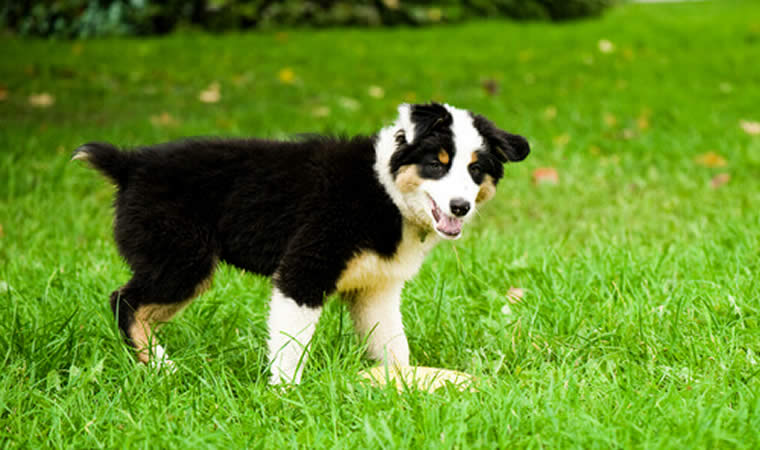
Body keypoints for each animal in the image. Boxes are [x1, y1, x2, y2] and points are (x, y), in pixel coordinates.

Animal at [75, 102, 528, 384]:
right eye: (437, 163)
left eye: (476, 170)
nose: (460, 207)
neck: (384, 189)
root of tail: (129, 163)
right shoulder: (304, 270)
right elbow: (291, 344)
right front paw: (286, 395)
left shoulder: (376, 288)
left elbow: (392, 346)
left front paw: (405, 384)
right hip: (183, 259)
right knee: (124, 302)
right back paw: (163, 369)